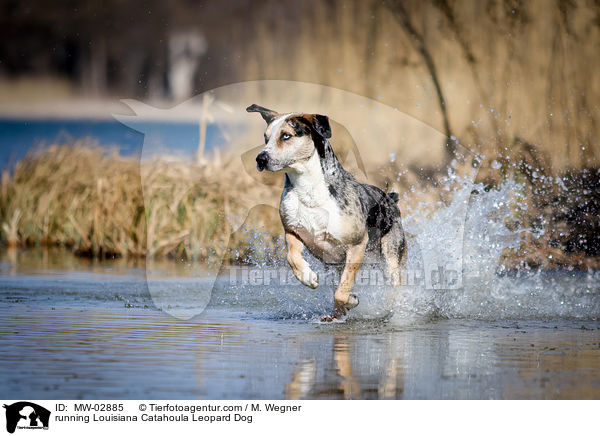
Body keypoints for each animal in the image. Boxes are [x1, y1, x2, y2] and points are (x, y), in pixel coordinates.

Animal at [246, 103, 406, 320]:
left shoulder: (356, 244)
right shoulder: (293, 231)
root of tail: (390, 199)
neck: (309, 190)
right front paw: (308, 277)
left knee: (393, 287)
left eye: (286, 135)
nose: (260, 159)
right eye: (266, 137)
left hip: (391, 258)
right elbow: (292, 257)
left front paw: (351, 300)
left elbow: (342, 290)